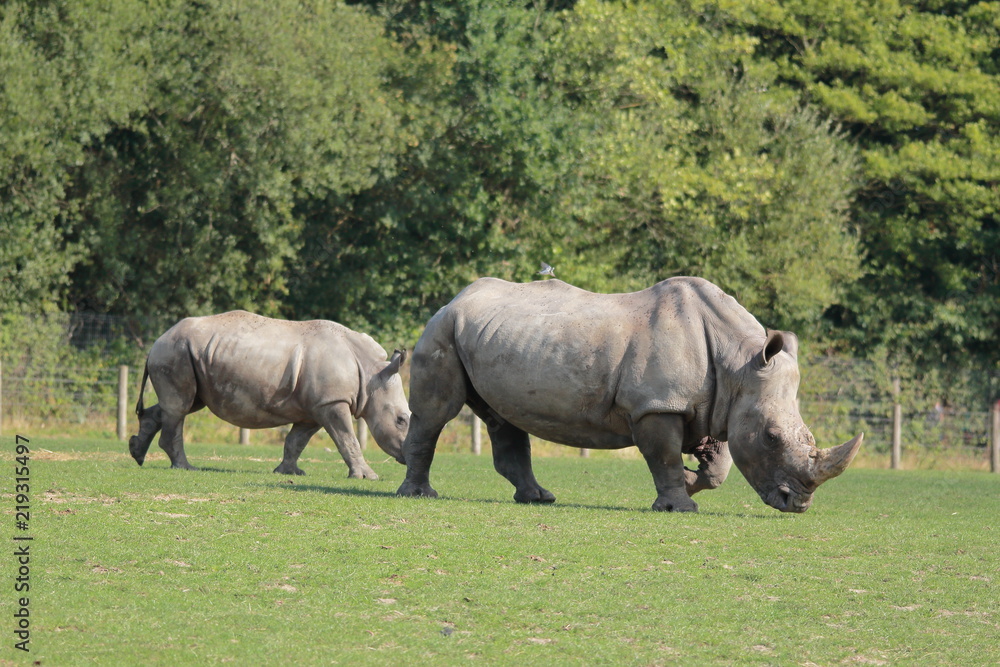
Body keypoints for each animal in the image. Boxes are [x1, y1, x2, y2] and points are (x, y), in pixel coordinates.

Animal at [129, 311, 410, 479]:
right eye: (401, 420)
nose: (408, 457)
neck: (370, 372)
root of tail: (157, 340)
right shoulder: (331, 402)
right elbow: (347, 438)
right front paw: (368, 477)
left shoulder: (315, 408)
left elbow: (296, 441)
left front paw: (289, 472)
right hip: (175, 351)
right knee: (180, 407)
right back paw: (185, 467)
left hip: (187, 353)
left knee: (182, 405)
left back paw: (137, 453)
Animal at [396, 277, 863, 512]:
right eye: (771, 437)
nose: (797, 504)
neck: (738, 362)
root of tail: (456, 296)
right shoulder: (656, 406)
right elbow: (664, 456)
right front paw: (679, 506)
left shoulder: (718, 404)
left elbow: (719, 467)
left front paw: (692, 481)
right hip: (442, 329)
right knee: (436, 414)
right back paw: (418, 496)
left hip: (490, 334)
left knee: (502, 417)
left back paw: (539, 499)